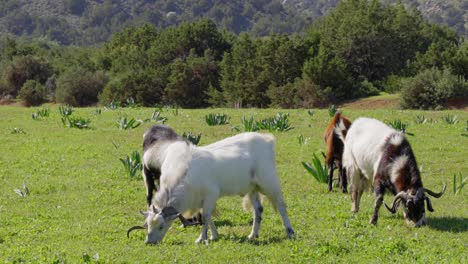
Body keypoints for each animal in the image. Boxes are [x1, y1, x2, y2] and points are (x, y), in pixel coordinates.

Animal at [126, 125, 294, 244]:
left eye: (161, 226)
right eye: (148, 224)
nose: (149, 242)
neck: (185, 172)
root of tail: (267, 139)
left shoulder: (211, 194)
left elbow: (206, 216)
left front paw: (202, 238)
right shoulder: (201, 199)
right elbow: (208, 216)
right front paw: (214, 236)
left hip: (269, 182)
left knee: (281, 205)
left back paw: (290, 232)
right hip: (252, 188)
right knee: (258, 210)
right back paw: (252, 235)